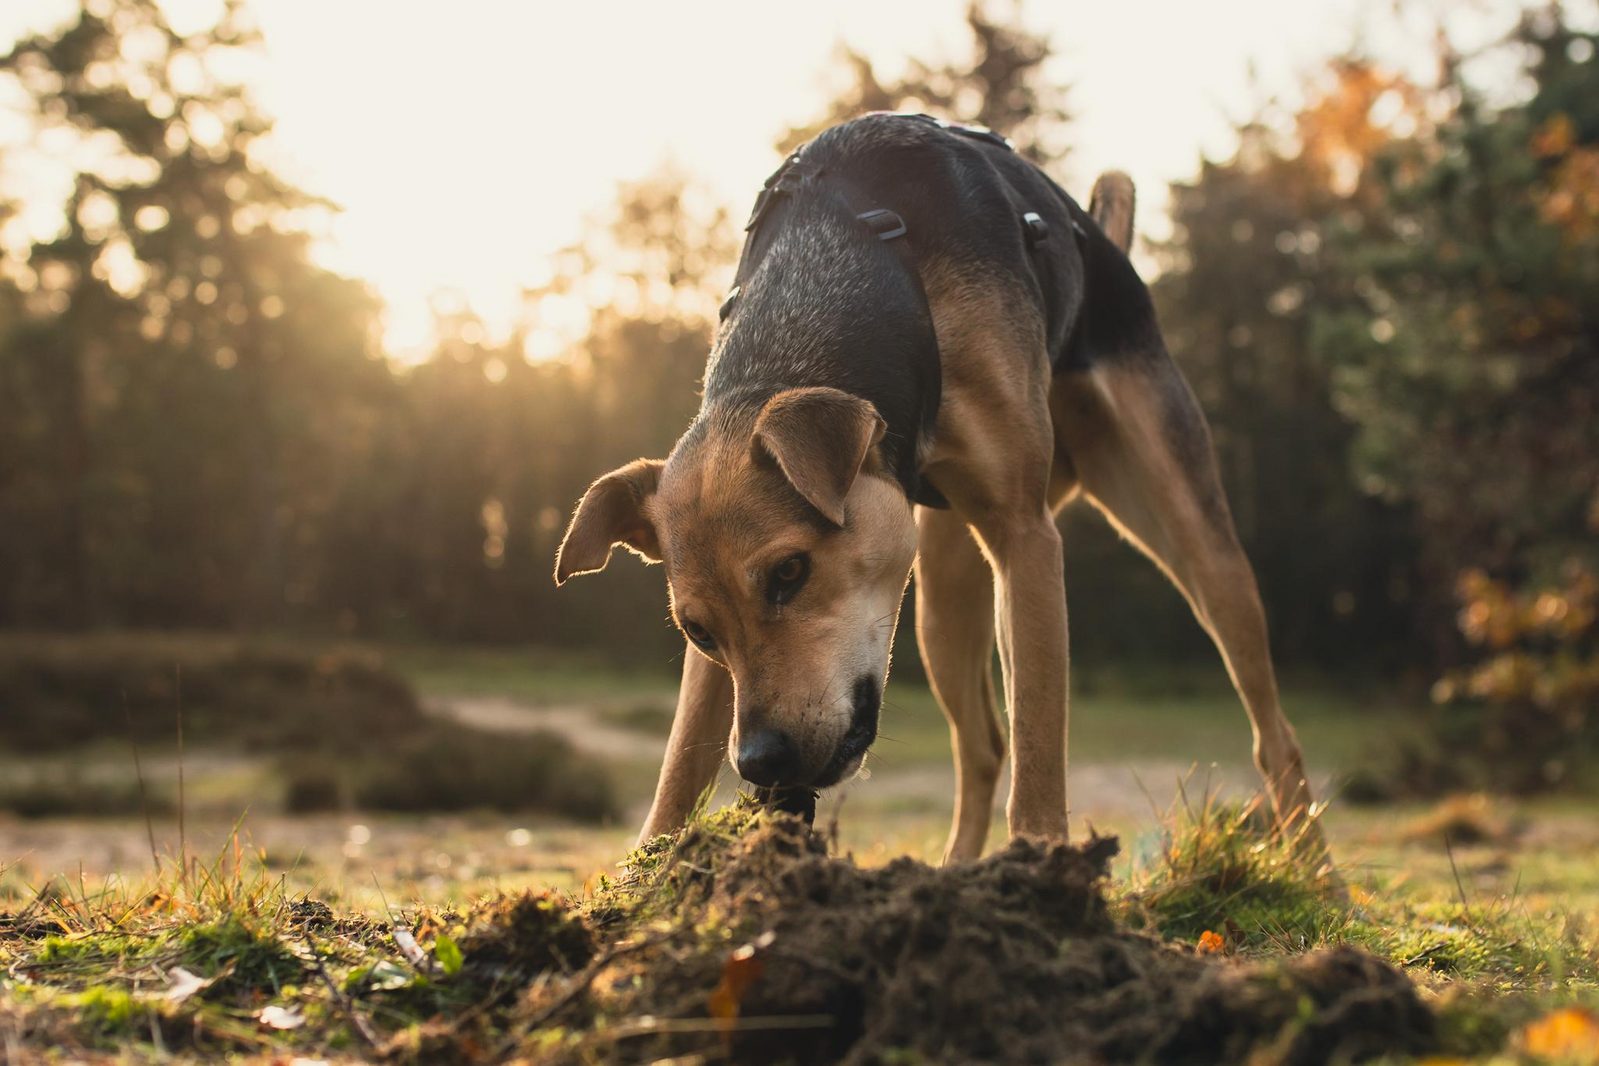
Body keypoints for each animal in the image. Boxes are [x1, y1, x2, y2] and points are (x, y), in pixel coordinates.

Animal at [553, 115, 1323, 869]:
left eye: (790, 572)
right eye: (698, 631)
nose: (761, 762)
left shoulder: (1025, 536)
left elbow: (1040, 743)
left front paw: (1041, 868)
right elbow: (680, 763)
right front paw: (648, 873)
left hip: (1192, 534)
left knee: (1272, 733)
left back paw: (1317, 872)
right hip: (942, 599)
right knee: (981, 746)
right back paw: (954, 872)